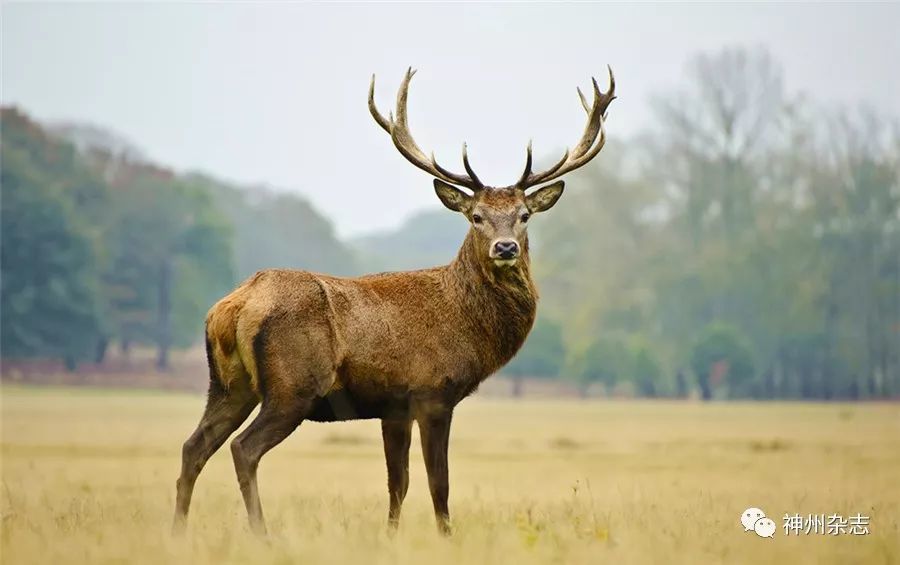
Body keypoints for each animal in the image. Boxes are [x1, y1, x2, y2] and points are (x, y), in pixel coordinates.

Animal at [172, 65, 616, 532]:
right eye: (476, 216)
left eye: (524, 215)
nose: (506, 247)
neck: (467, 324)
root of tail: (232, 306)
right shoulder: (433, 392)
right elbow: (439, 483)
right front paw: (445, 535)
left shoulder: (393, 407)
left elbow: (397, 484)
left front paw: (391, 535)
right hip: (292, 386)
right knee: (243, 449)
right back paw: (262, 534)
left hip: (228, 384)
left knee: (193, 447)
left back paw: (179, 532)